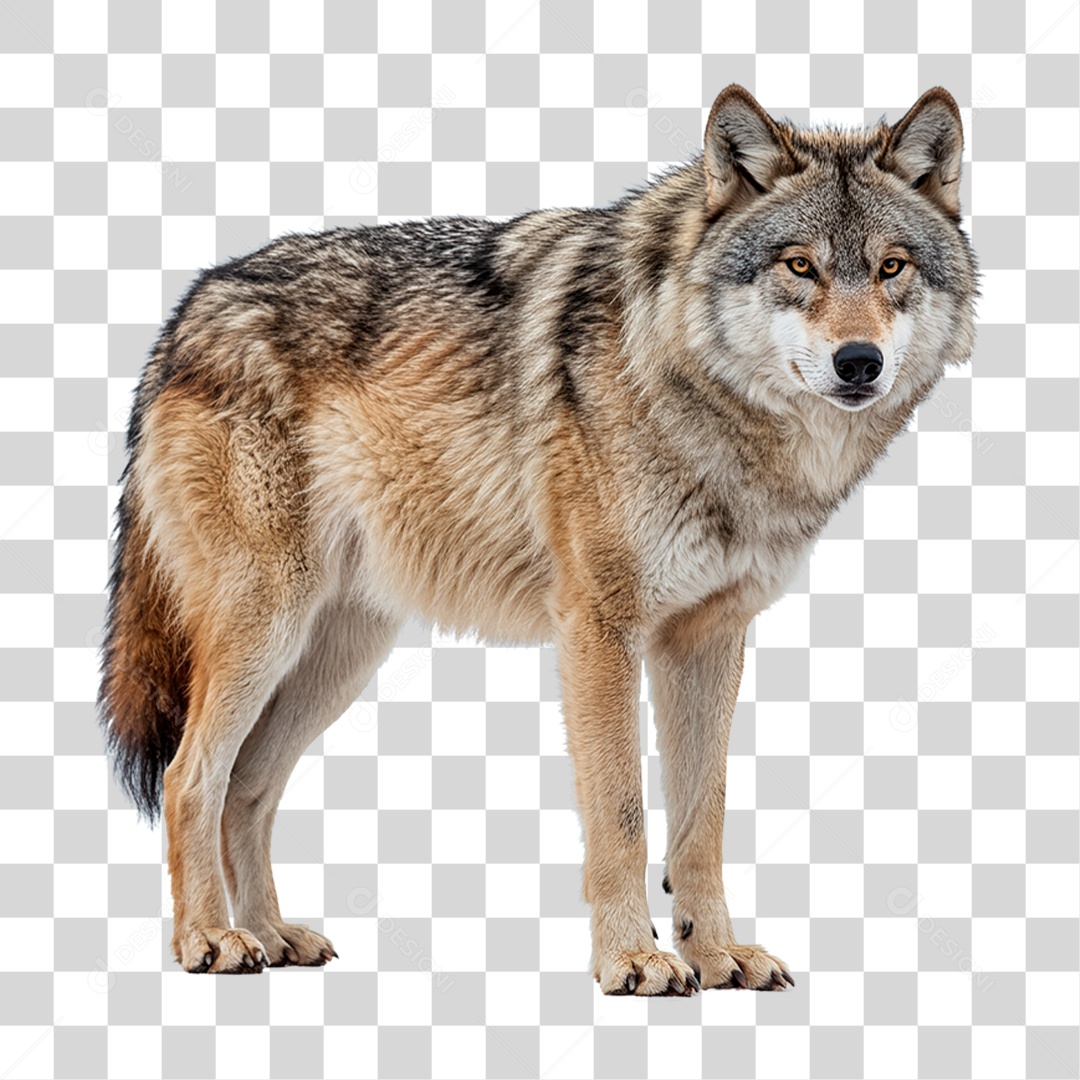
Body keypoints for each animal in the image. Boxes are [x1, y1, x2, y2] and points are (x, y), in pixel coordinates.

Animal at [99, 84, 977, 993]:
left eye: (892, 268)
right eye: (800, 266)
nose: (859, 361)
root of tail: (186, 310)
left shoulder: (708, 639)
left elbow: (702, 823)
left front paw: (716, 953)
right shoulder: (600, 627)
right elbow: (622, 813)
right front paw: (633, 958)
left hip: (337, 655)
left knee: (246, 785)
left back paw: (272, 935)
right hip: (265, 630)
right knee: (189, 777)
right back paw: (211, 940)